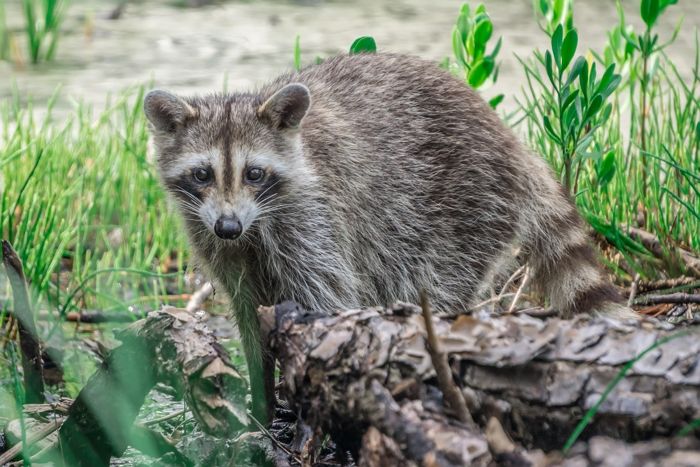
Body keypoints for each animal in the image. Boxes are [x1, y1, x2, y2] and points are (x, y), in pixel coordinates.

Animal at [142, 54, 624, 420]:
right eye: (202, 174)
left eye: (254, 174)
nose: (228, 226)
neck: (255, 225)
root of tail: (516, 147)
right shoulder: (217, 240)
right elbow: (247, 314)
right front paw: (261, 403)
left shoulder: (314, 219)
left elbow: (325, 302)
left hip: (464, 206)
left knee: (434, 283)